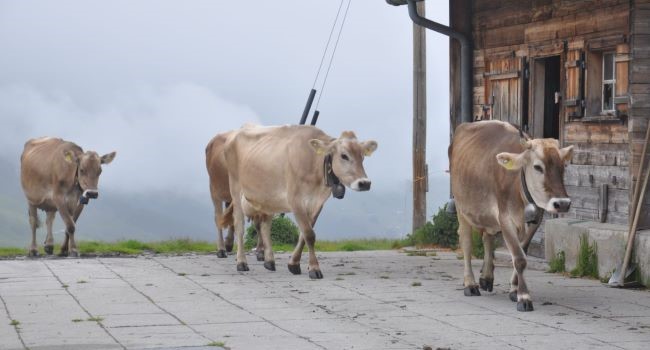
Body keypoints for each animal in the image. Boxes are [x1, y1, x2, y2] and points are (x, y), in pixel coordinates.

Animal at [221, 126, 378, 278]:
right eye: (344, 155)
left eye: (362, 156)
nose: (364, 183)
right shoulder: (295, 200)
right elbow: (309, 234)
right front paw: (314, 268)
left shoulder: (317, 204)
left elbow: (304, 235)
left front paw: (294, 264)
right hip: (236, 189)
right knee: (239, 226)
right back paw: (241, 262)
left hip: (268, 197)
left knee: (265, 227)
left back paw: (269, 261)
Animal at [448, 120, 568, 312]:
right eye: (537, 167)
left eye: (563, 166)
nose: (562, 203)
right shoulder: (505, 218)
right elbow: (518, 258)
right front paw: (524, 298)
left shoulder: (535, 221)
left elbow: (522, 252)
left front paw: (514, 290)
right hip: (461, 206)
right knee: (466, 242)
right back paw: (471, 284)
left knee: (488, 238)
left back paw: (486, 277)